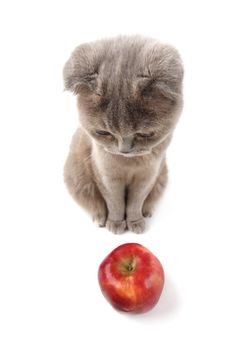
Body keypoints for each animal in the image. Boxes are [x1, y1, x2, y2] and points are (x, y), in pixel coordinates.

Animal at [62, 35, 183, 234]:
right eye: (103, 132)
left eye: (144, 134)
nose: (124, 150)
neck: (129, 164)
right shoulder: (105, 175)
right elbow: (114, 202)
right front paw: (116, 223)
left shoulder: (148, 175)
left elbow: (136, 201)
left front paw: (135, 222)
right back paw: (99, 218)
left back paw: (147, 212)